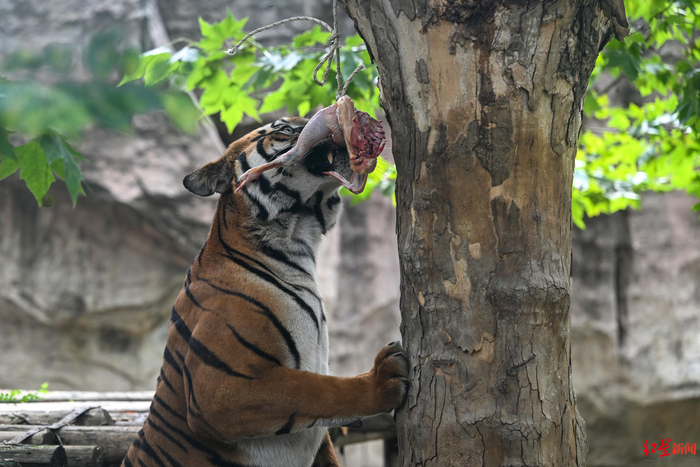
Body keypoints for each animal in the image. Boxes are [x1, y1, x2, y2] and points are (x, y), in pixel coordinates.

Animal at [121, 116, 409, 467]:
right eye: (284, 129)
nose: (320, 118)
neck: (298, 241)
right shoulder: (218, 390)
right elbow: (316, 390)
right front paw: (383, 379)